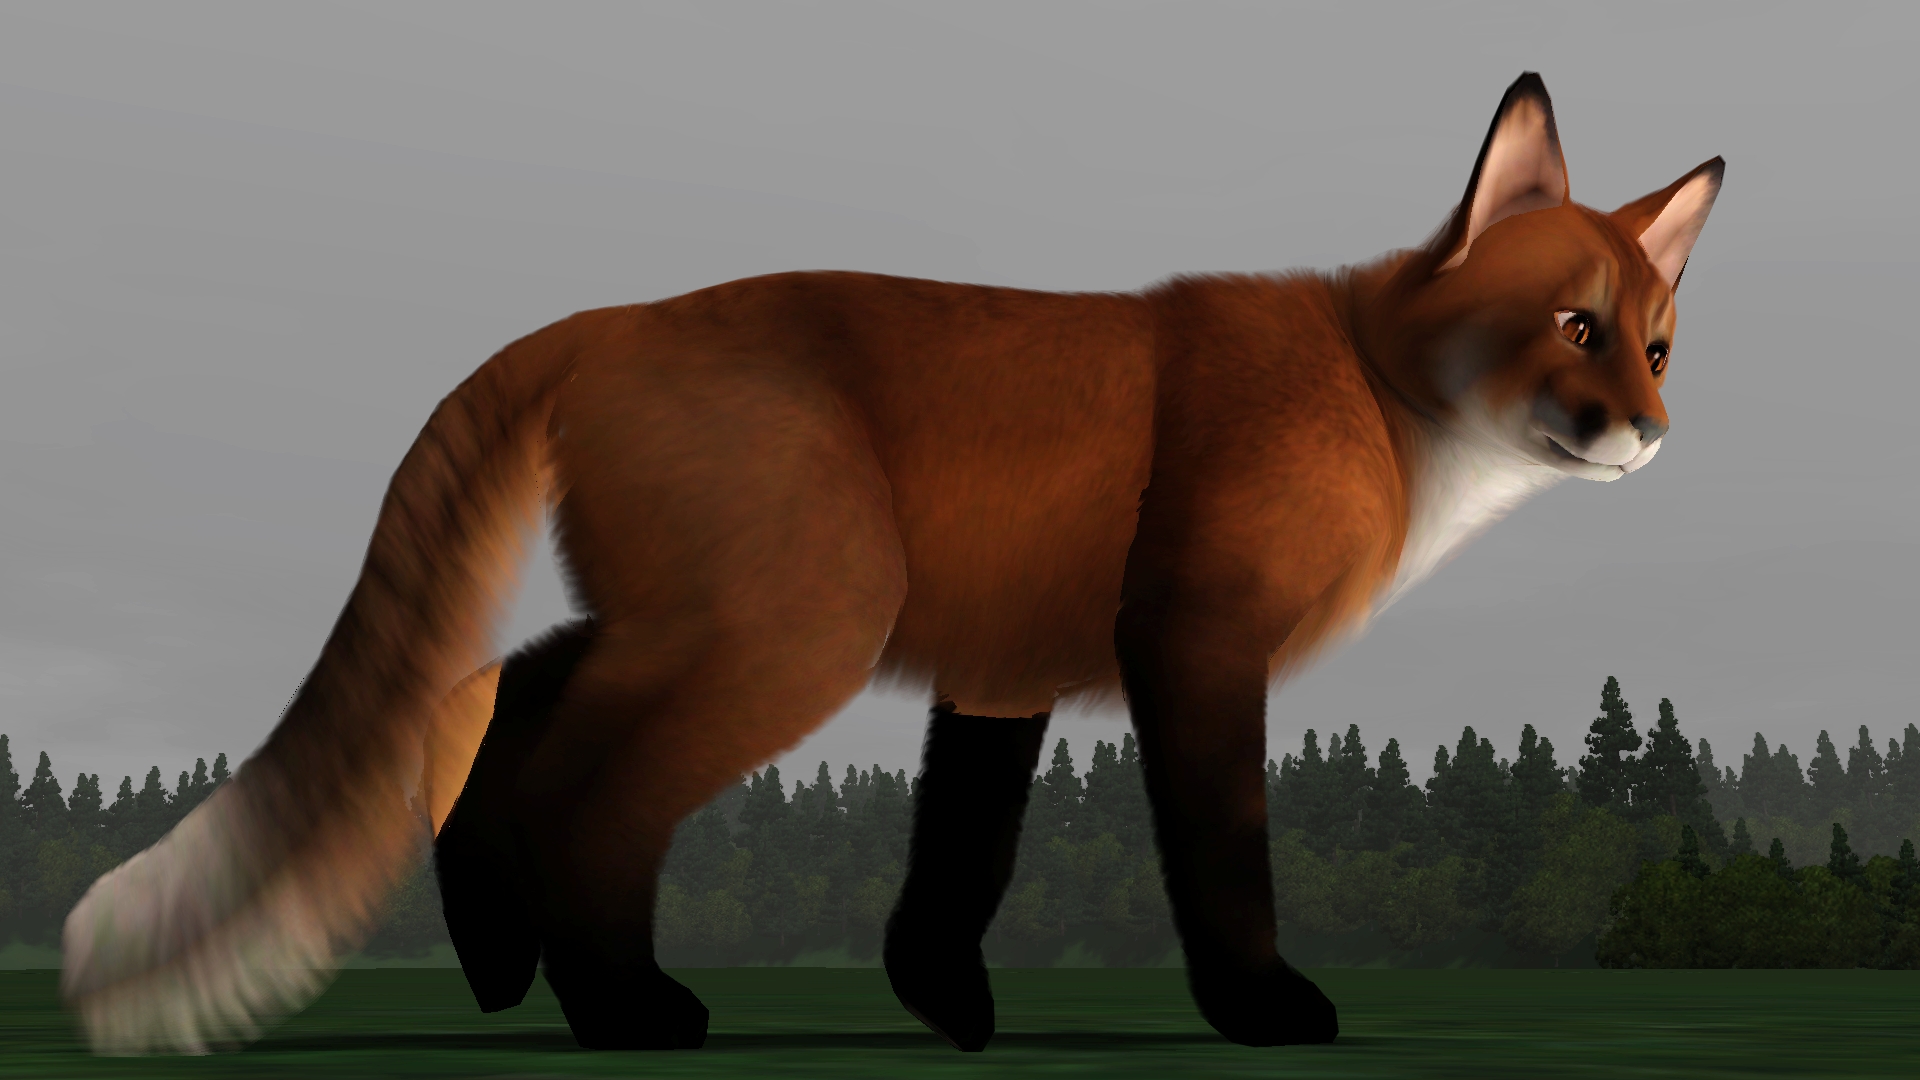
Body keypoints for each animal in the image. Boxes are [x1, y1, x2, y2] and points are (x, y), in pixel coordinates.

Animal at [60, 72, 1720, 1054]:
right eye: (1572, 328)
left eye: (1654, 346)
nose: (1649, 437)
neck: (1377, 394)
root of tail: (603, 317)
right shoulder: (1193, 643)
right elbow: (1222, 851)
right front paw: (1257, 1006)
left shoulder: (1000, 672)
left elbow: (957, 861)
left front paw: (945, 1006)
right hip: (797, 626)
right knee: (564, 785)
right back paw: (621, 1007)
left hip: (696, 614)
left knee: (487, 694)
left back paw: (489, 960)